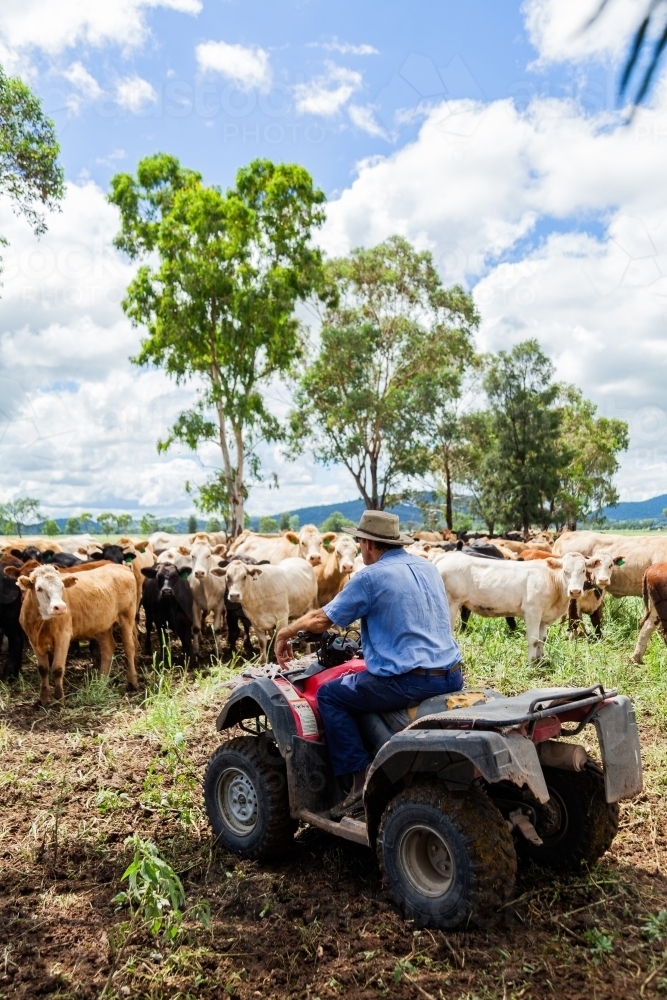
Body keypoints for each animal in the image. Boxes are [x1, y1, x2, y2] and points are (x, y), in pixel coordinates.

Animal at [13, 568, 137, 708]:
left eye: (62, 587)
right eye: (39, 588)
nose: (60, 607)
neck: (40, 624)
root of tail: (119, 567)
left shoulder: (63, 637)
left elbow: (57, 668)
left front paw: (59, 700)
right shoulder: (33, 640)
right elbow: (43, 669)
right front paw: (44, 699)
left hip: (127, 617)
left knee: (129, 647)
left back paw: (132, 682)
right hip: (102, 625)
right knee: (108, 648)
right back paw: (101, 681)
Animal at [440, 552, 588, 660]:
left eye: (583, 571)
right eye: (565, 571)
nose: (575, 591)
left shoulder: (543, 617)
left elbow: (542, 639)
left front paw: (541, 660)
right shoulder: (532, 611)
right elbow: (533, 639)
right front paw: (531, 663)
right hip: (451, 604)